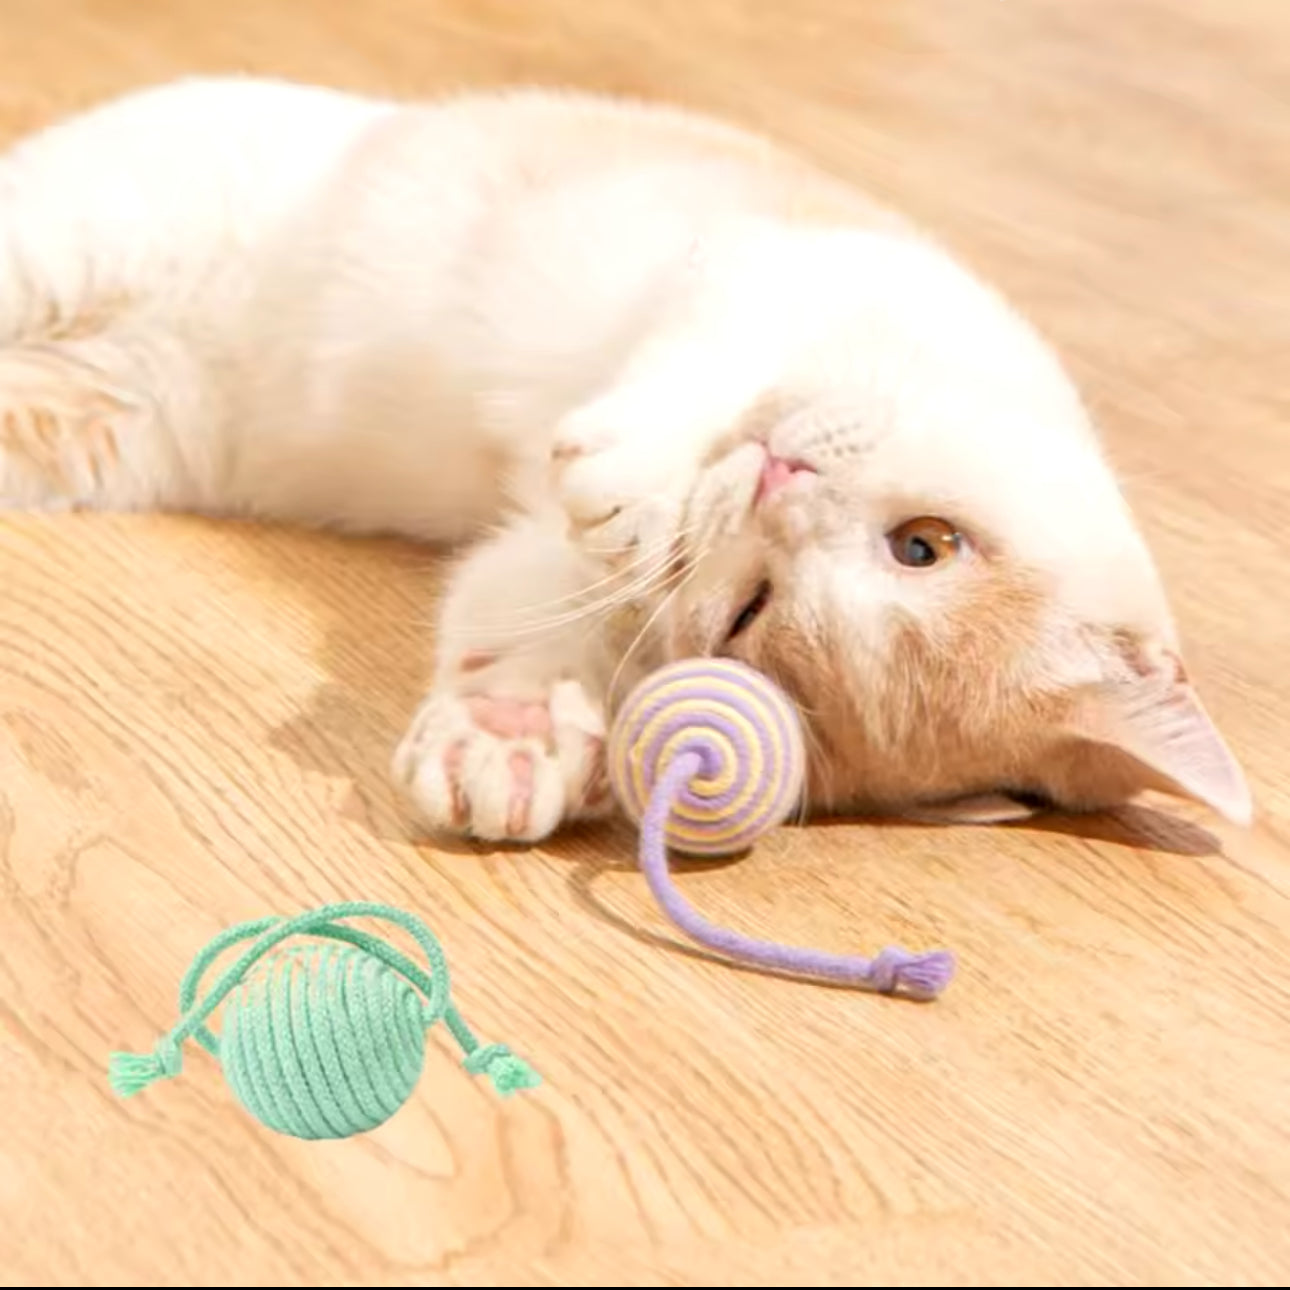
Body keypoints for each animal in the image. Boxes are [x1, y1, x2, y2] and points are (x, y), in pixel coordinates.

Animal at [0, 80, 1248, 841]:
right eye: (927, 546)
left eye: (750, 612)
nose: (780, 486)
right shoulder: (772, 267)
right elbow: (698, 376)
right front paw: (631, 482)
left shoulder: (537, 574)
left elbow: (519, 634)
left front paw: (516, 748)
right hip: (74, 237)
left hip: (92, 425)